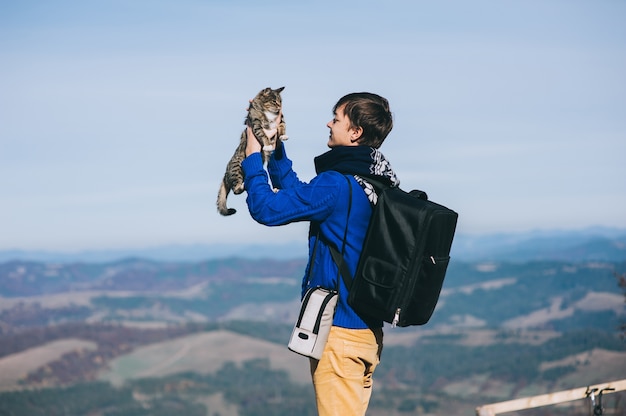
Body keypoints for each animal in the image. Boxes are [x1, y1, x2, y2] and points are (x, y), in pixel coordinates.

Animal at [216, 88, 286, 218]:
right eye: (274, 101)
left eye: (280, 101)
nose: (279, 107)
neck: (270, 113)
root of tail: (225, 173)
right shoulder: (256, 123)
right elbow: (263, 134)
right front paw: (268, 145)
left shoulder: (281, 118)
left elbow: (283, 125)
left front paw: (283, 135)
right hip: (237, 169)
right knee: (236, 189)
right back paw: (244, 185)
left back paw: (274, 190)